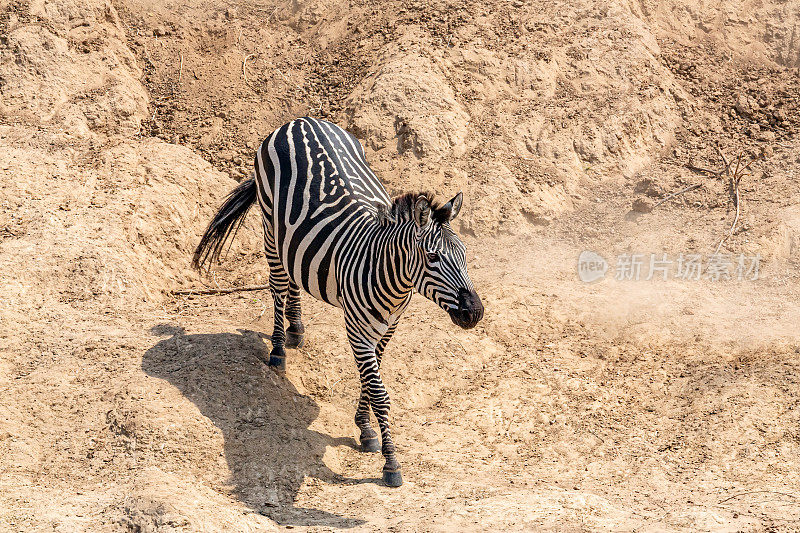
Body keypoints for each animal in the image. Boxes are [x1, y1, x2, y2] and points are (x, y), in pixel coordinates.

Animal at [192, 117, 482, 486]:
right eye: (432, 257)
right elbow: (380, 393)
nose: (475, 312)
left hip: (290, 235)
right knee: (277, 284)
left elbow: (370, 381)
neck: (389, 277)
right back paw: (278, 350)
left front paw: (366, 430)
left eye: (464, 255)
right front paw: (391, 464)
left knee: (293, 275)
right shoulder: (357, 331)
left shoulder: (388, 328)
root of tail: (299, 120)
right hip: (270, 225)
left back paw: (296, 329)